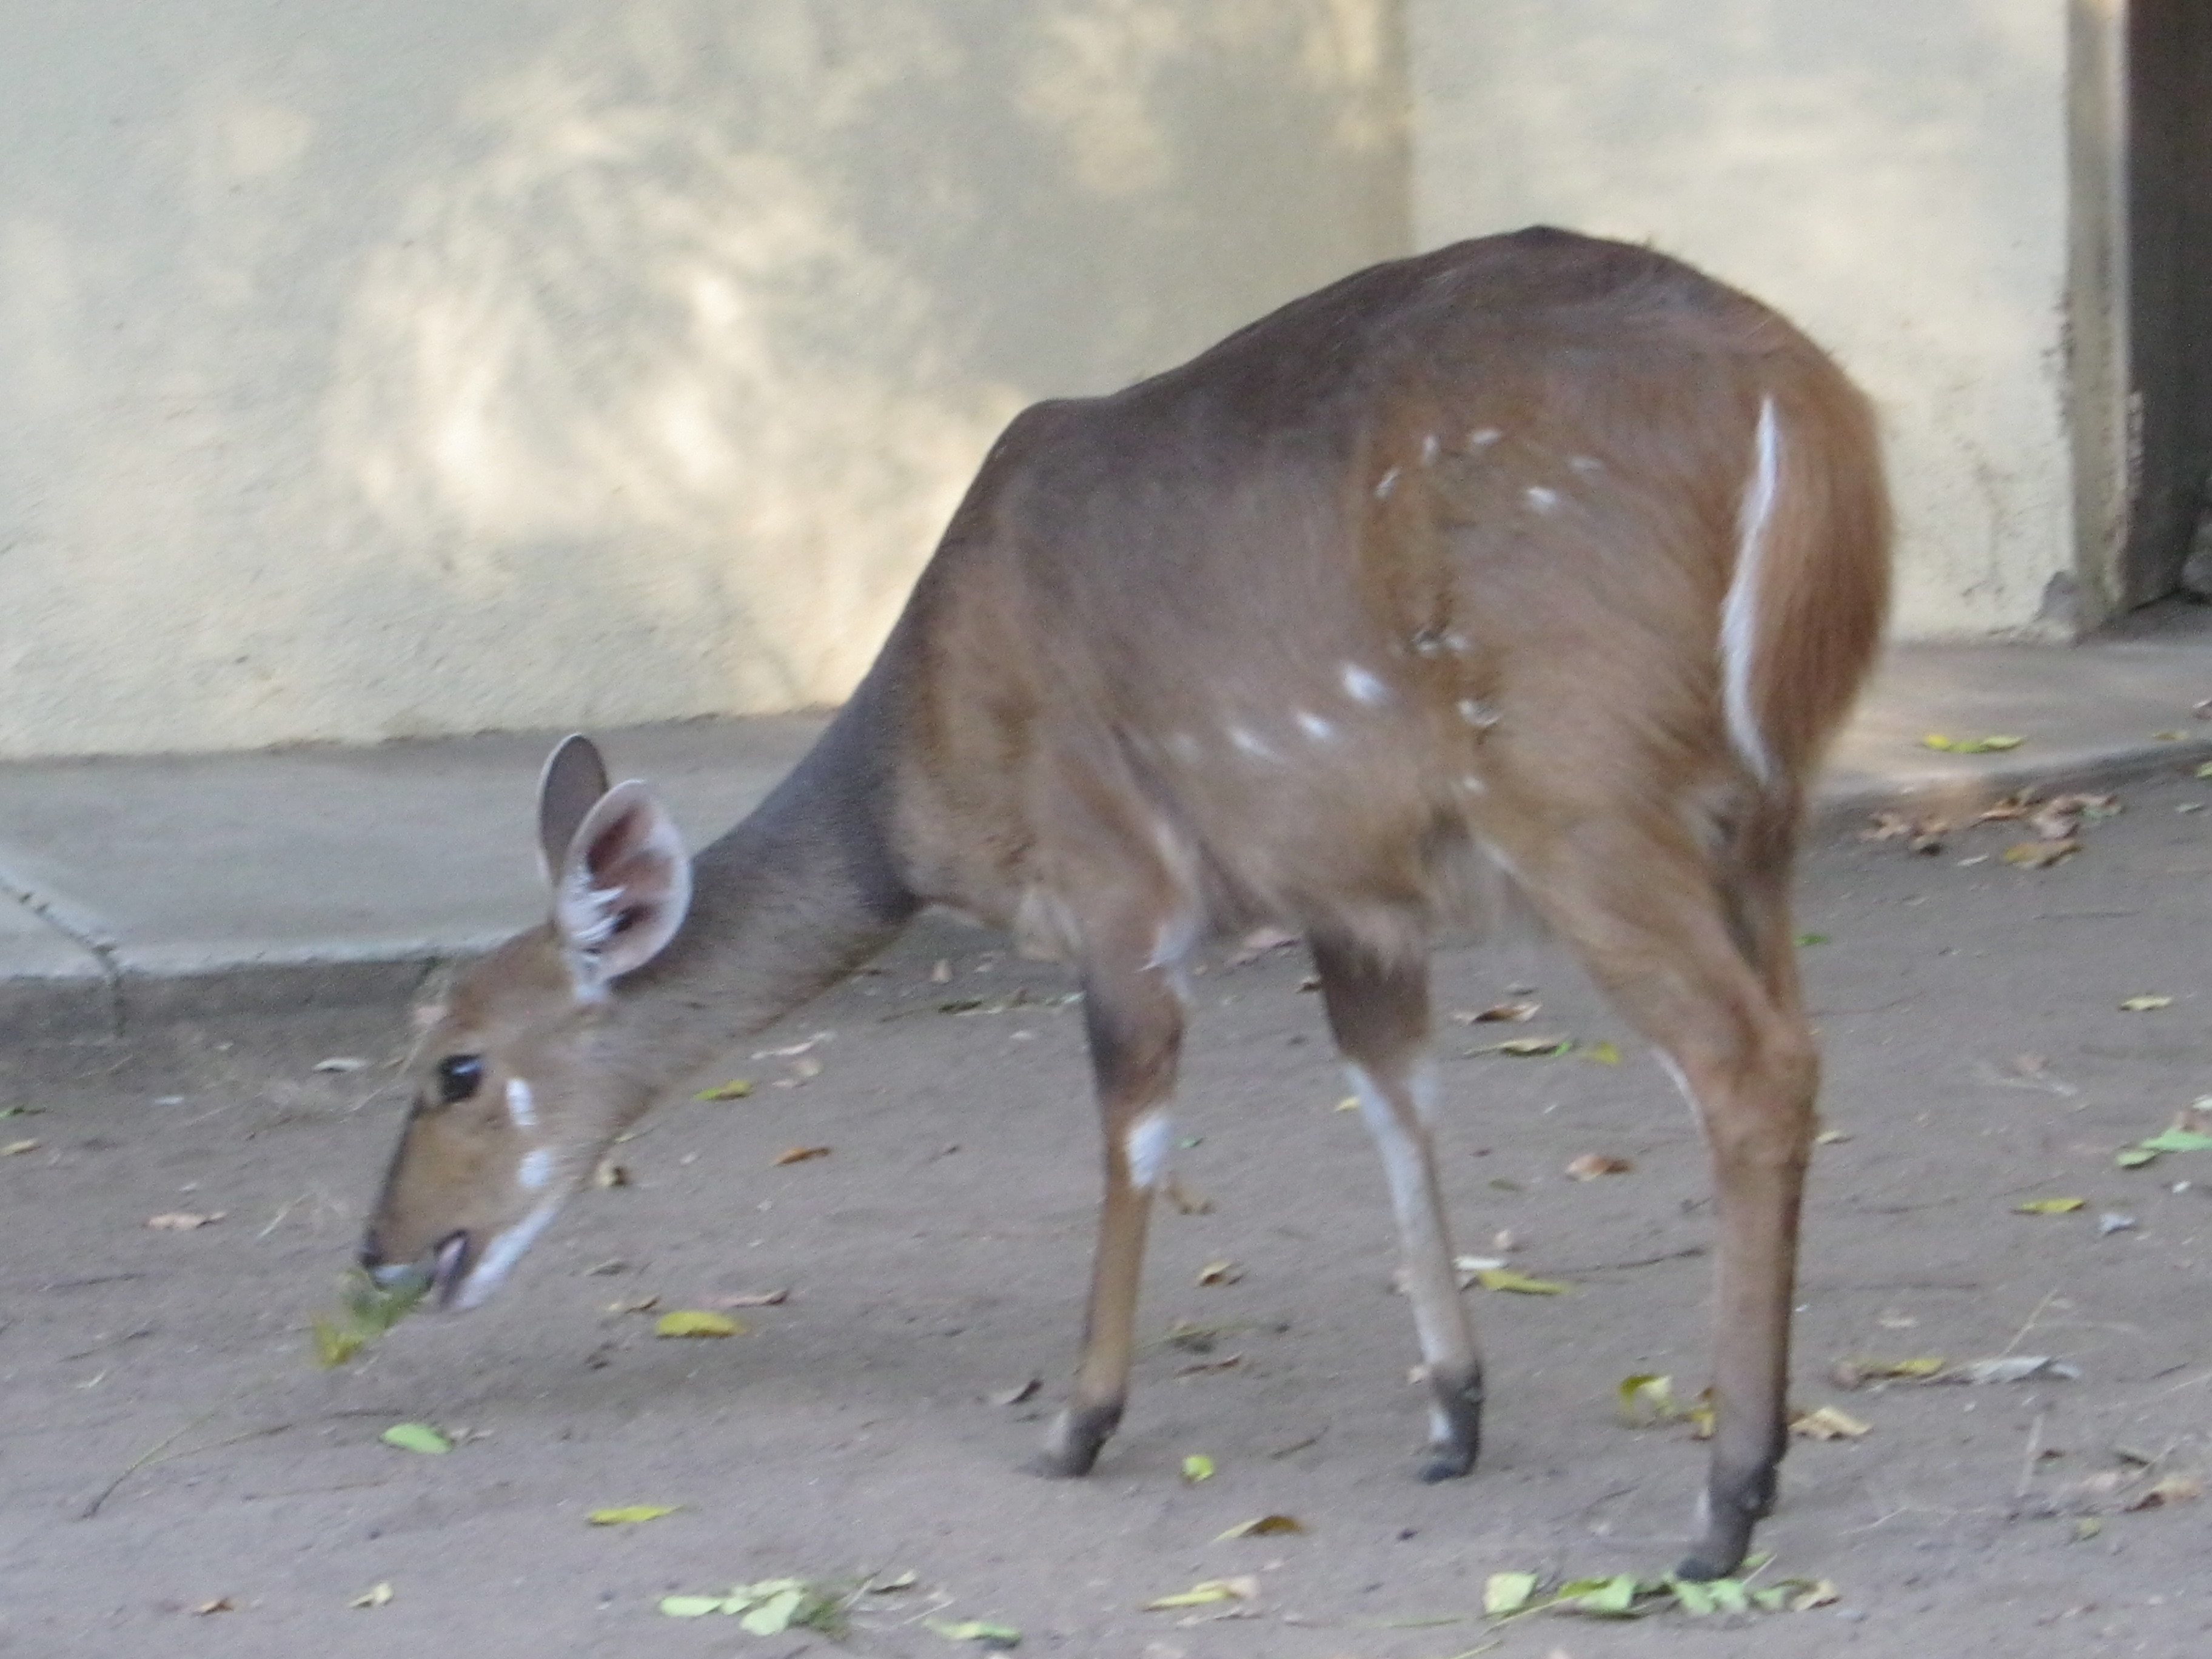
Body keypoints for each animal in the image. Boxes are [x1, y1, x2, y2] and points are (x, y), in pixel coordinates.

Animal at [358, 227, 1885, 1575]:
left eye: (457, 1067)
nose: (382, 1253)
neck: (921, 754)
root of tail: (1802, 403)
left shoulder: (1118, 887)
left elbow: (1131, 1132)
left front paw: (1077, 1422)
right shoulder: (1355, 900)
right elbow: (1395, 1096)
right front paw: (1452, 1417)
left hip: (1585, 798)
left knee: (1748, 1063)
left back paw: (1726, 1499)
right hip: (1759, 815)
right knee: (1797, 1048)